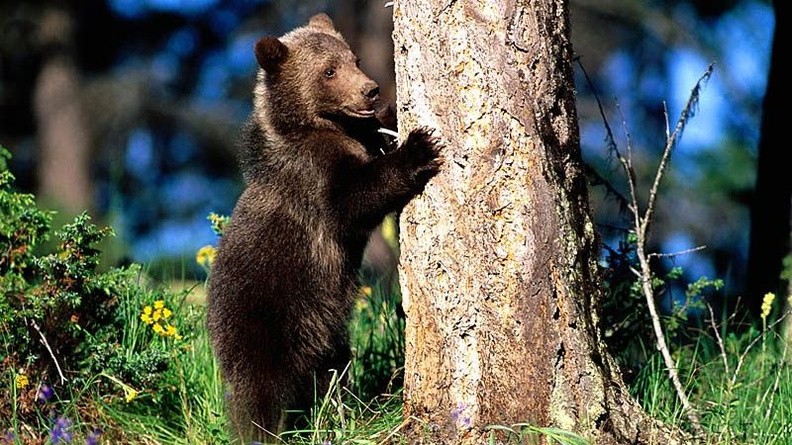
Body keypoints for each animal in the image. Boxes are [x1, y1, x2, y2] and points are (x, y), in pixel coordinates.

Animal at [206, 13, 442, 443]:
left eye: (355, 59)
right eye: (329, 71)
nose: (370, 90)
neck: (321, 128)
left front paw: (395, 120)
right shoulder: (313, 177)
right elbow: (353, 200)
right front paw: (419, 146)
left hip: (324, 327)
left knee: (332, 370)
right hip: (265, 316)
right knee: (257, 394)